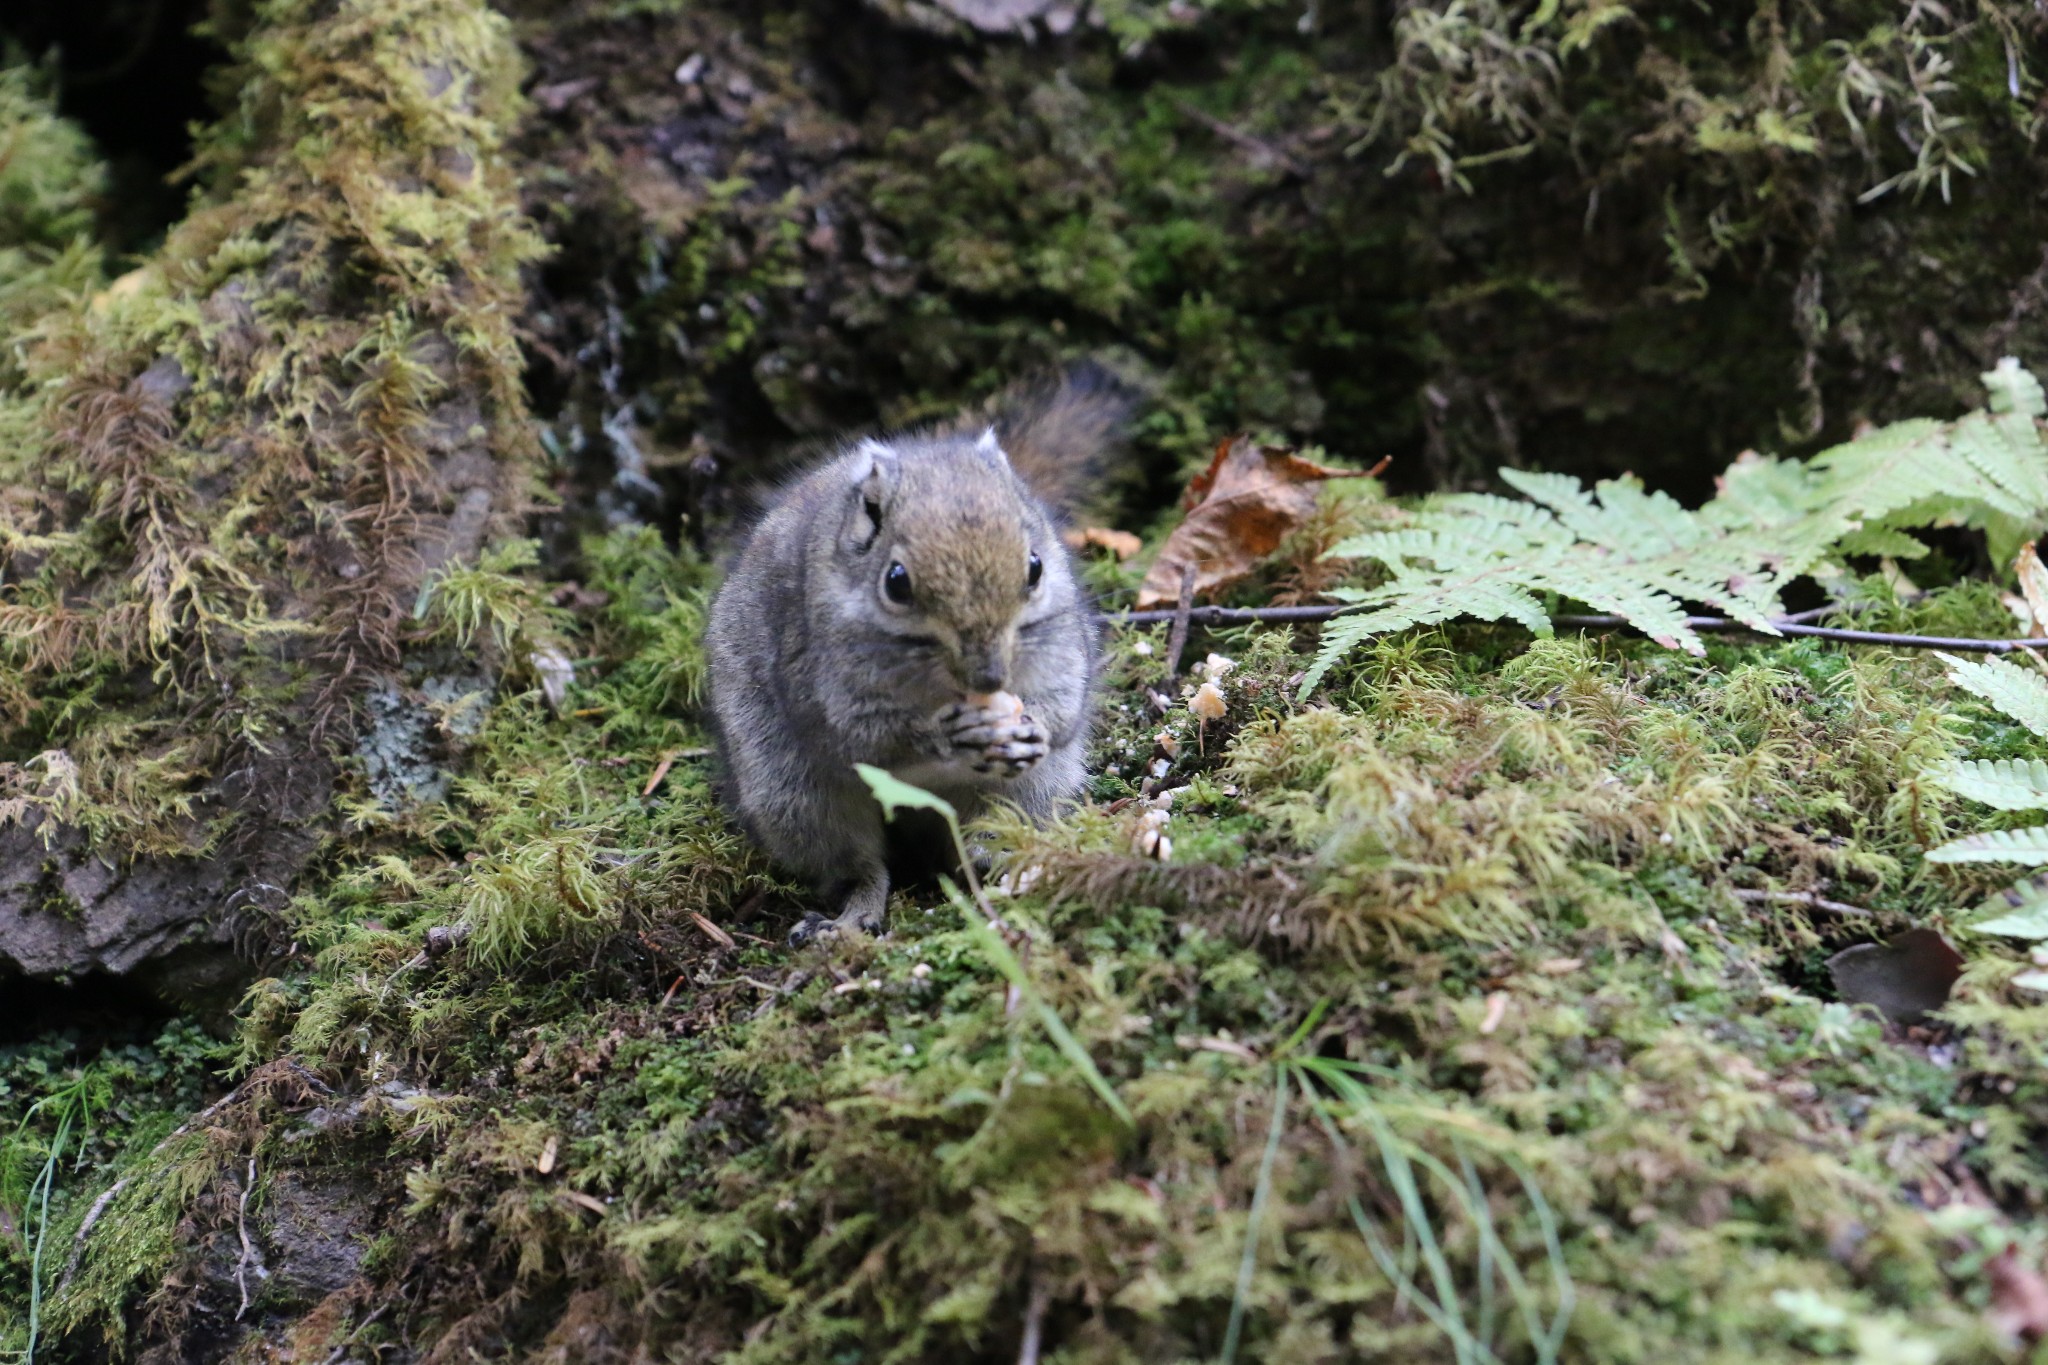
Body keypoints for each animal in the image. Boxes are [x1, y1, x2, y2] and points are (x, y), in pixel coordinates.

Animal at [708, 368, 1138, 945]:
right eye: (896, 582)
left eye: (1036, 567)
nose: (990, 675)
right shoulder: (824, 679)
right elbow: (866, 738)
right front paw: (945, 735)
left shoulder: (1061, 649)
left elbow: (1062, 707)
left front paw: (1034, 729)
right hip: (795, 799)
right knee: (858, 866)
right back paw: (850, 917)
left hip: (1034, 788)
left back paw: (1000, 858)